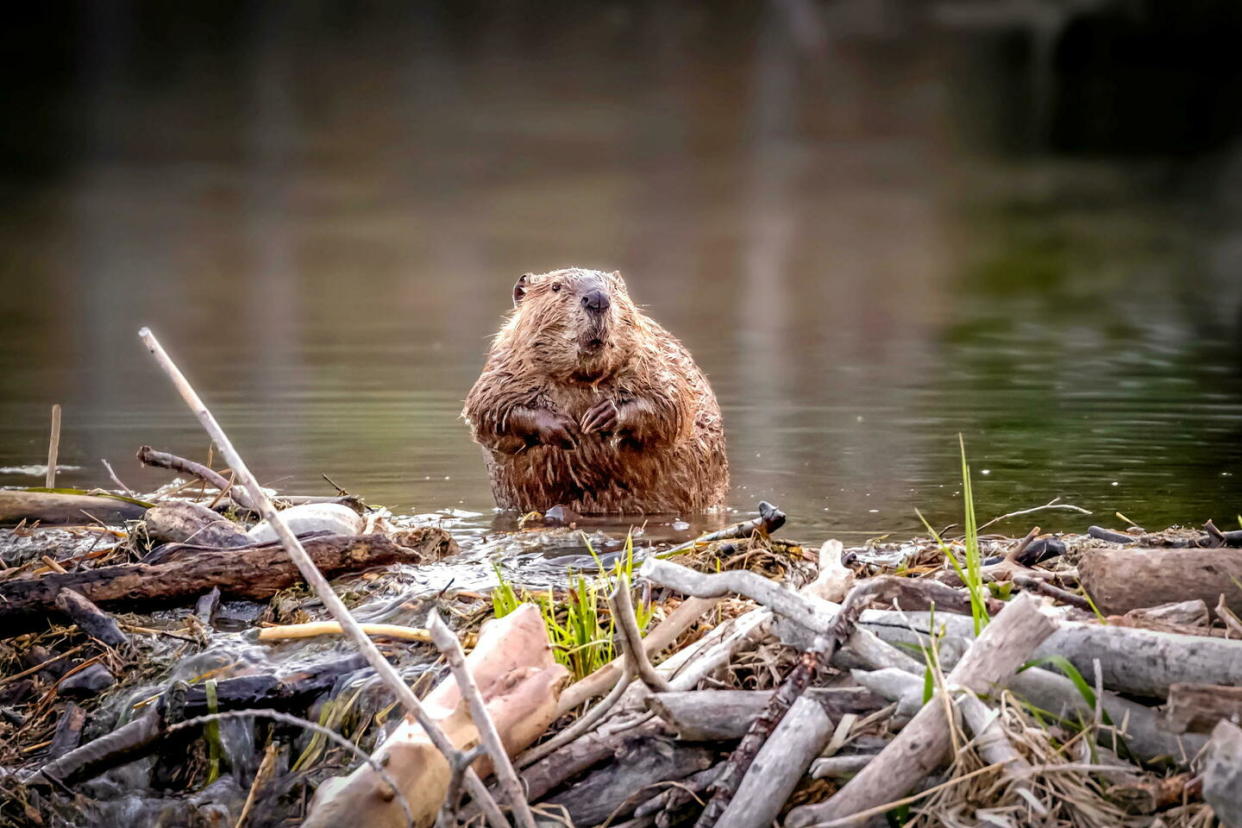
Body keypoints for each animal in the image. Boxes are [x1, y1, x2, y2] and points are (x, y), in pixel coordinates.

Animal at [464, 269, 725, 513]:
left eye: (614, 288)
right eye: (556, 287)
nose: (598, 299)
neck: (582, 378)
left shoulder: (654, 359)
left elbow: (671, 404)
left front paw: (601, 416)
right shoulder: (503, 368)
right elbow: (489, 410)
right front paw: (563, 427)